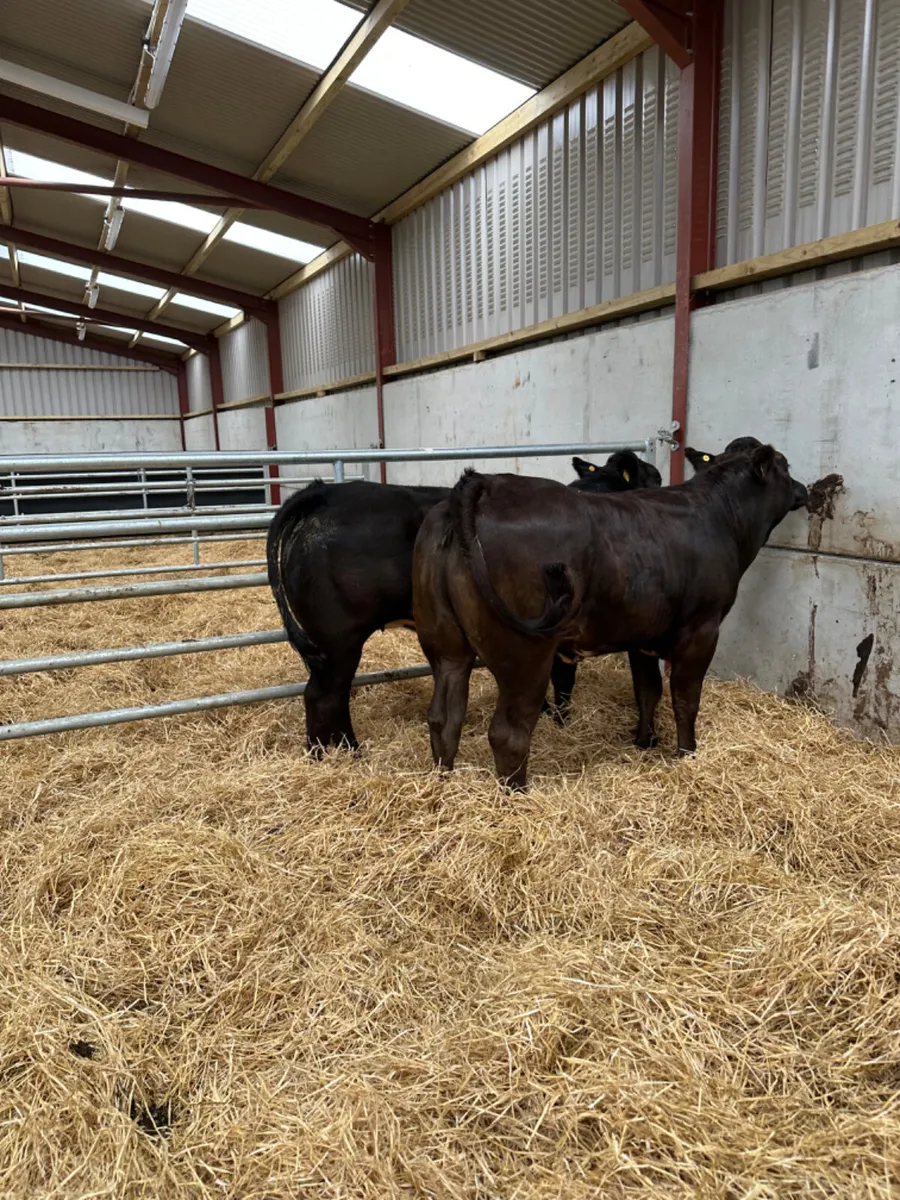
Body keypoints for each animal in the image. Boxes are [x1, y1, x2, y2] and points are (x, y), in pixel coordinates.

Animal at [267, 449, 660, 753]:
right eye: (651, 478)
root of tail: (325, 493)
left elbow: (561, 682)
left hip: (325, 644)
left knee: (328, 694)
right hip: (340, 638)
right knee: (324, 696)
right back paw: (341, 753)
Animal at [412, 443, 808, 790]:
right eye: (785, 467)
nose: (804, 489)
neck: (720, 516)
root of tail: (484, 483)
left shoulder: (643, 637)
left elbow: (648, 690)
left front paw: (644, 741)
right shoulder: (702, 630)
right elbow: (685, 699)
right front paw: (687, 754)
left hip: (445, 646)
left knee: (444, 717)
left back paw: (443, 781)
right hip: (524, 654)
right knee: (507, 733)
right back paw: (517, 795)